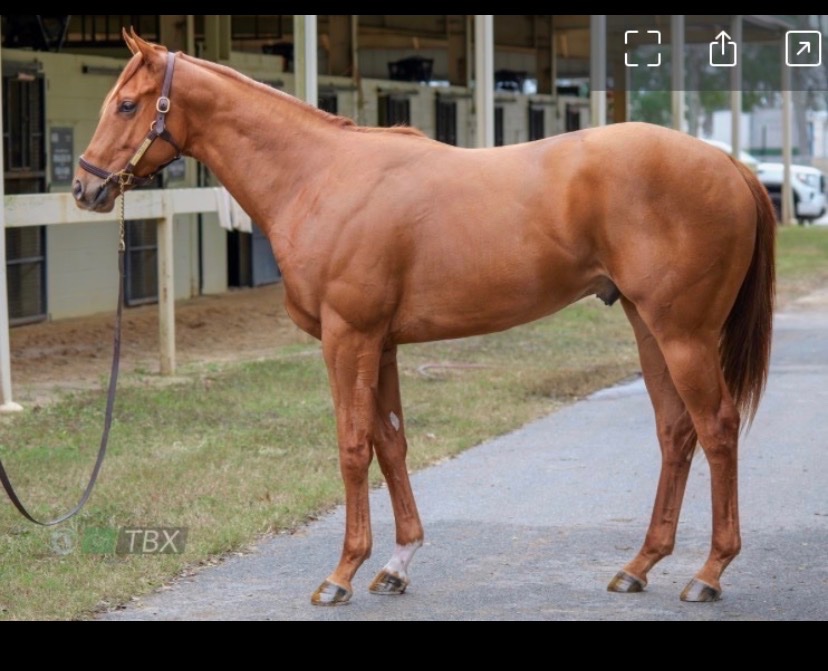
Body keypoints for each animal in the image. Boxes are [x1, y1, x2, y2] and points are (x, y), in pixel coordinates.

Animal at [73, 29, 775, 607]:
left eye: (128, 104)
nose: (86, 188)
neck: (319, 176)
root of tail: (729, 165)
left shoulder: (348, 338)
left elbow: (352, 446)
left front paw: (341, 574)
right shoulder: (380, 343)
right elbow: (391, 442)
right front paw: (396, 564)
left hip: (683, 334)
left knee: (716, 429)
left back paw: (708, 574)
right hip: (647, 325)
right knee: (675, 432)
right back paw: (639, 565)